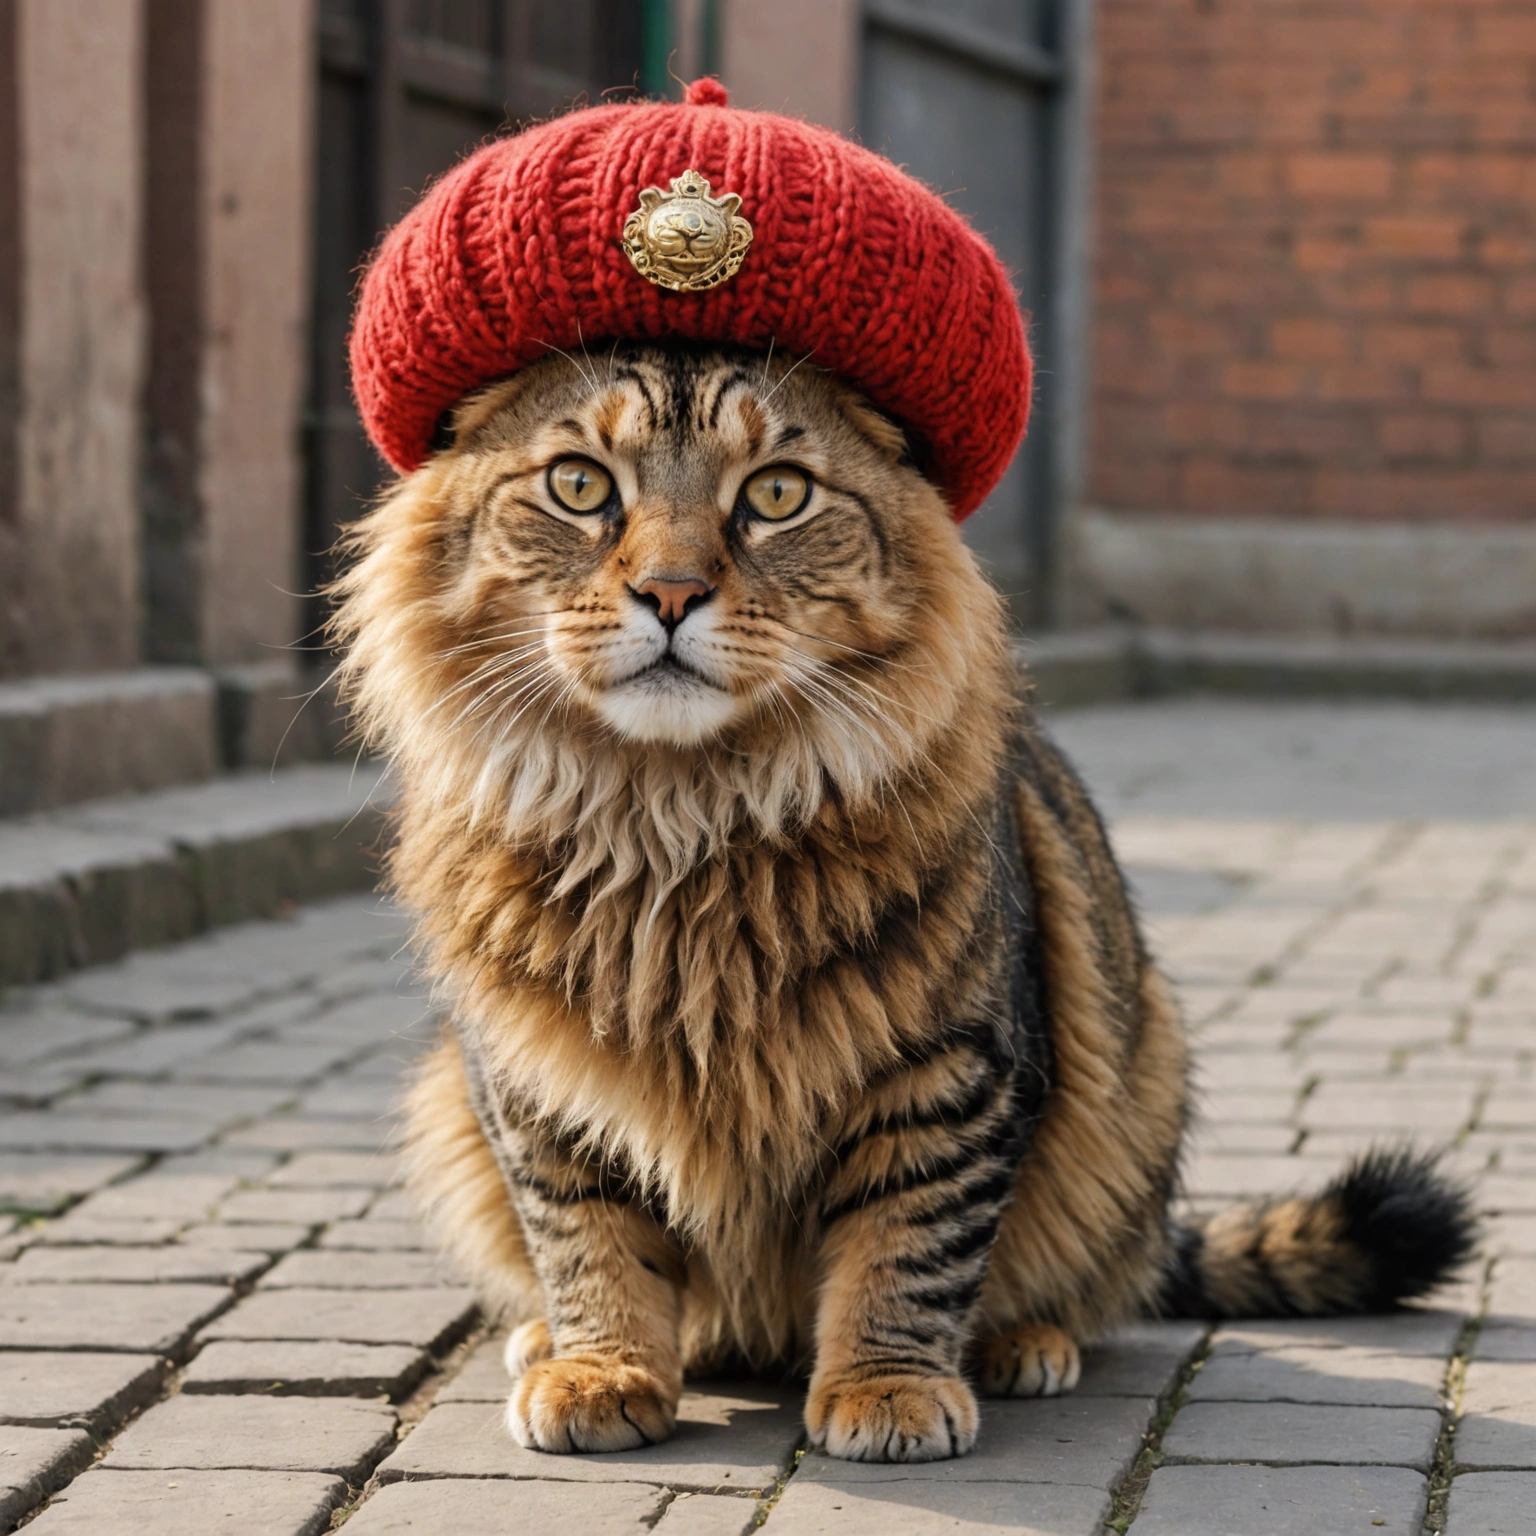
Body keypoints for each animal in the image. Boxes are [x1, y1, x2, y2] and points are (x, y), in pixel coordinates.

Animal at [336, 345, 1474, 1462]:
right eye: (580, 487)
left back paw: (1019, 1346)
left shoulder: (951, 1070)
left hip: (1141, 1072)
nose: (670, 592)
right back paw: (548, 1340)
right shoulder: (536, 1082)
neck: (673, 815)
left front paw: (887, 1389)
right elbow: (588, 1241)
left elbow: (909, 1244)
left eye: (777, 495)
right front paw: (602, 1371)